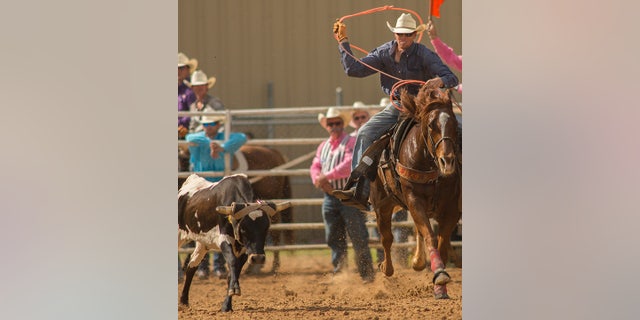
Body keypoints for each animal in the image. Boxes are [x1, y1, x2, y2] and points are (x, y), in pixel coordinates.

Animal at [372, 86, 462, 298]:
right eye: (430, 126)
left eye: (454, 124)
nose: (448, 161)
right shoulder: (414, 200)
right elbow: (430, 236)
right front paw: (440, 275)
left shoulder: (452, 209)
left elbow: (441, 243)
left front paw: (440, 286)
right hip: (382, 204)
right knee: (387, 238)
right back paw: (386, 267)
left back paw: (418, 262)